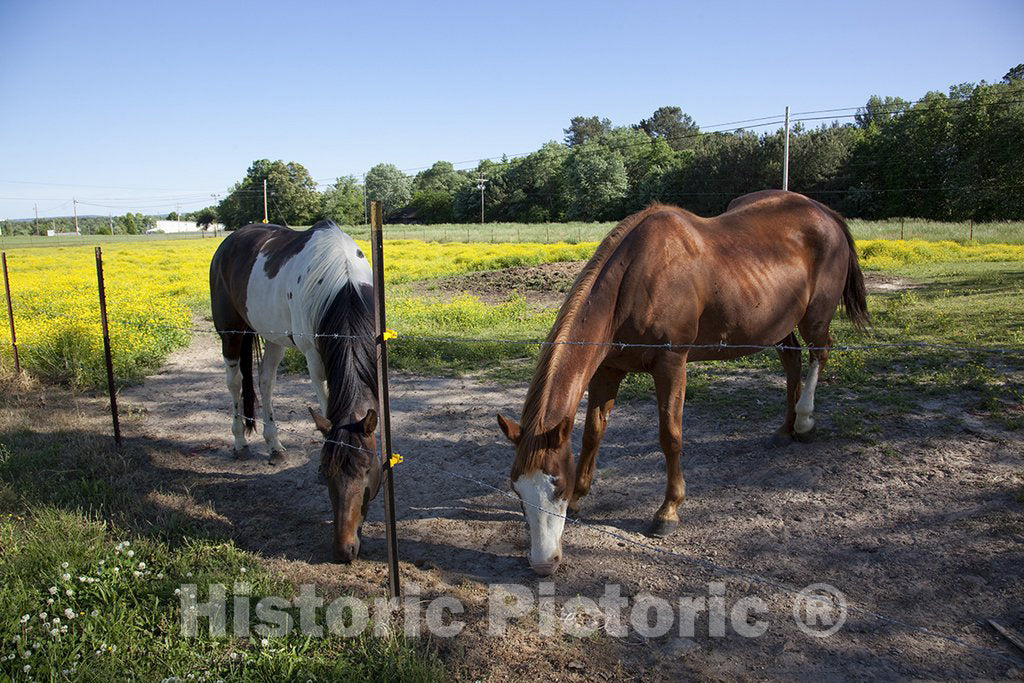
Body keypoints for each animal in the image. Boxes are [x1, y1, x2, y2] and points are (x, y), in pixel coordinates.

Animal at [210, 222, 385, 565]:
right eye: (327, 473)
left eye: (367, 471)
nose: (343, 551)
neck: (343, 283)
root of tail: (230, 239)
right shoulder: (315, 359)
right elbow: (328, 406)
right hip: (230, 333)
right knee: (235, 381)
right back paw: (239, 442)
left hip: (272, 336)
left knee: (265, 381)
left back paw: (275, 445)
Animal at [499, 191, 868, 577]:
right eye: (518, 491)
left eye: (557, 487)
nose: (543, 564)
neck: (635, 279)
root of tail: (824, 212)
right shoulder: (608, 369)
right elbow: (593, 433)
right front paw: (583, 497)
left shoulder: (671, 365)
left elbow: (670, 436)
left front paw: (667, 512)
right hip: (779, 325)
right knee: (792, 361)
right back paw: (785, 428)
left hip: (816, 317)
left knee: (819, 354)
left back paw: (806, 421)